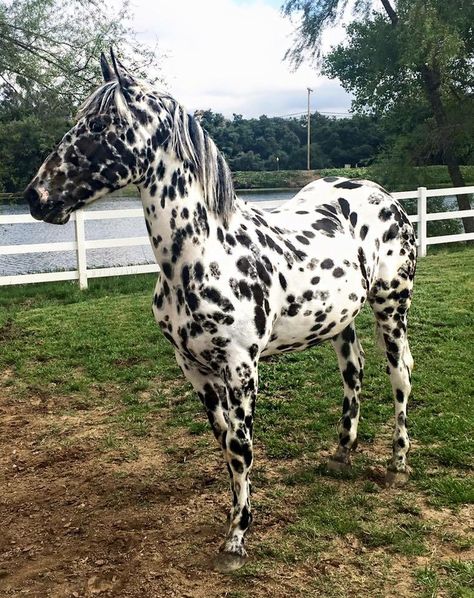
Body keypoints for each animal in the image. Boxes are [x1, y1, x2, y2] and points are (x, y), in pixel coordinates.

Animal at [24, 49, 416, 576]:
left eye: (103, 124)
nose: (36, 196)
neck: (203, 255)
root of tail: (386, 197)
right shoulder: (193, 368)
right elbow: (224, 440)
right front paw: (233, 516)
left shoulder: (241, 370)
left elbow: (241, 447)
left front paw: (236, 539)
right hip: (341, 321)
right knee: (353, 375)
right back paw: (341, 453)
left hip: (391, 309)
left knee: (400, 377)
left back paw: (398, 462)